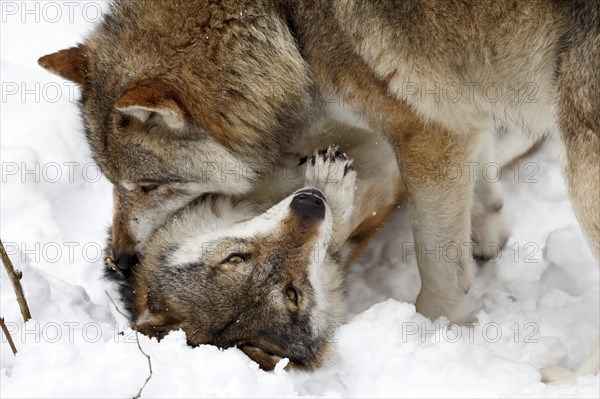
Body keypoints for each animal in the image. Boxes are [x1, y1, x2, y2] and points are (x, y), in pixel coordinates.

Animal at [39, 0, 596, 382]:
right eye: (110, 181)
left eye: (148, 185)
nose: (119, 260)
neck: (286, 26)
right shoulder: (457, 124)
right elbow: (480, 174)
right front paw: (488, 230)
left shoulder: (424, 138)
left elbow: (439, 273)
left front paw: (426, 334)